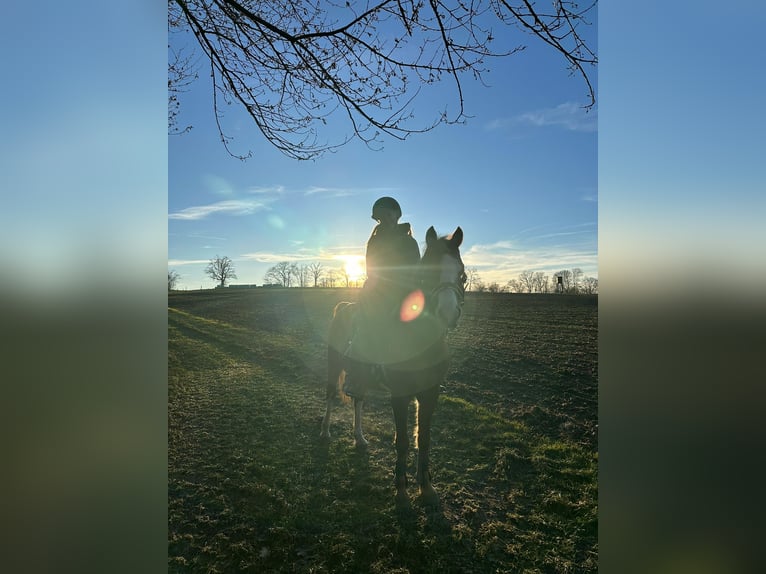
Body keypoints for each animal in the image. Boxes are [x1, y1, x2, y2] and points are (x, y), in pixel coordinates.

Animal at [320, 227, 468, 506]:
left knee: (358, 401)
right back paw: (325, 432)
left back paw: (359, 437)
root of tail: (343, 307)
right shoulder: (400, 395)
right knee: (331, 395)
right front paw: (401, 488)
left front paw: (426, 487)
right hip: (333, 365)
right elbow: (403, 442)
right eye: (426, 272)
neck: (419, 341)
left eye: (461, 273)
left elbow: (424, 438)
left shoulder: (430, 393)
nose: (447, 312)